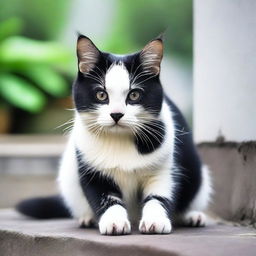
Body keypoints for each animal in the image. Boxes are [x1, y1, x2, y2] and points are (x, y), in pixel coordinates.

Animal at [16, 34, 212, 236]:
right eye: (101, 95)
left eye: (134, 95)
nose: (116, 114)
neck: (119, 141)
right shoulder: (91, 171)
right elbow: (106, 198)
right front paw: (114, 221)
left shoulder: (163, 168)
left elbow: (159, 195)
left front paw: (155, 220)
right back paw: (87, 218)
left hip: (200, 177)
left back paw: (192, 216)